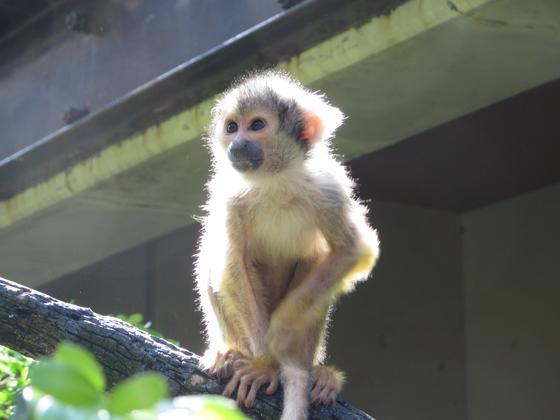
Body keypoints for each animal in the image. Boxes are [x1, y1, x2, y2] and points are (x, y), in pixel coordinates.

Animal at [195, 70, 378, 418]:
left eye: (256, 125)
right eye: (232, 127)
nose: (237, 143)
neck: (274, 181)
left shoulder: (327, 187)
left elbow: (352, 251)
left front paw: (281, 336)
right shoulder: (230, 196)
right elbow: (231, 266)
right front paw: (265, 362)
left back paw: (312, 371)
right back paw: (232, 353)